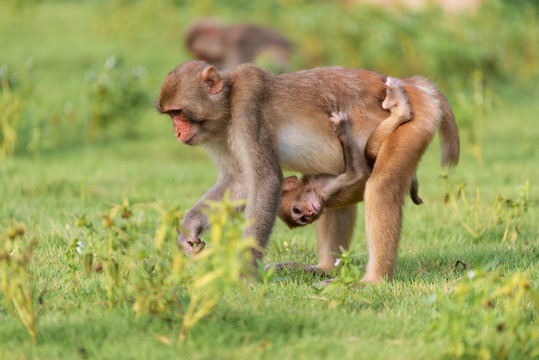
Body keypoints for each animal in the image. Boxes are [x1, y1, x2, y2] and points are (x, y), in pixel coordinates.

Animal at [157, 60, 460, 282]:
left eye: (179, 112)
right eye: (170, 115)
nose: (177, 133)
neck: (227, 108)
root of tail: (415, 86)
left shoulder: (248, 110)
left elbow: (265, 181)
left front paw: (242, 274)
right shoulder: (218, 136)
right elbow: (240, 181)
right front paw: (189, 228)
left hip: (417, 122)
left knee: (381, 186)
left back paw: (372, 281)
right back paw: (325, 267)